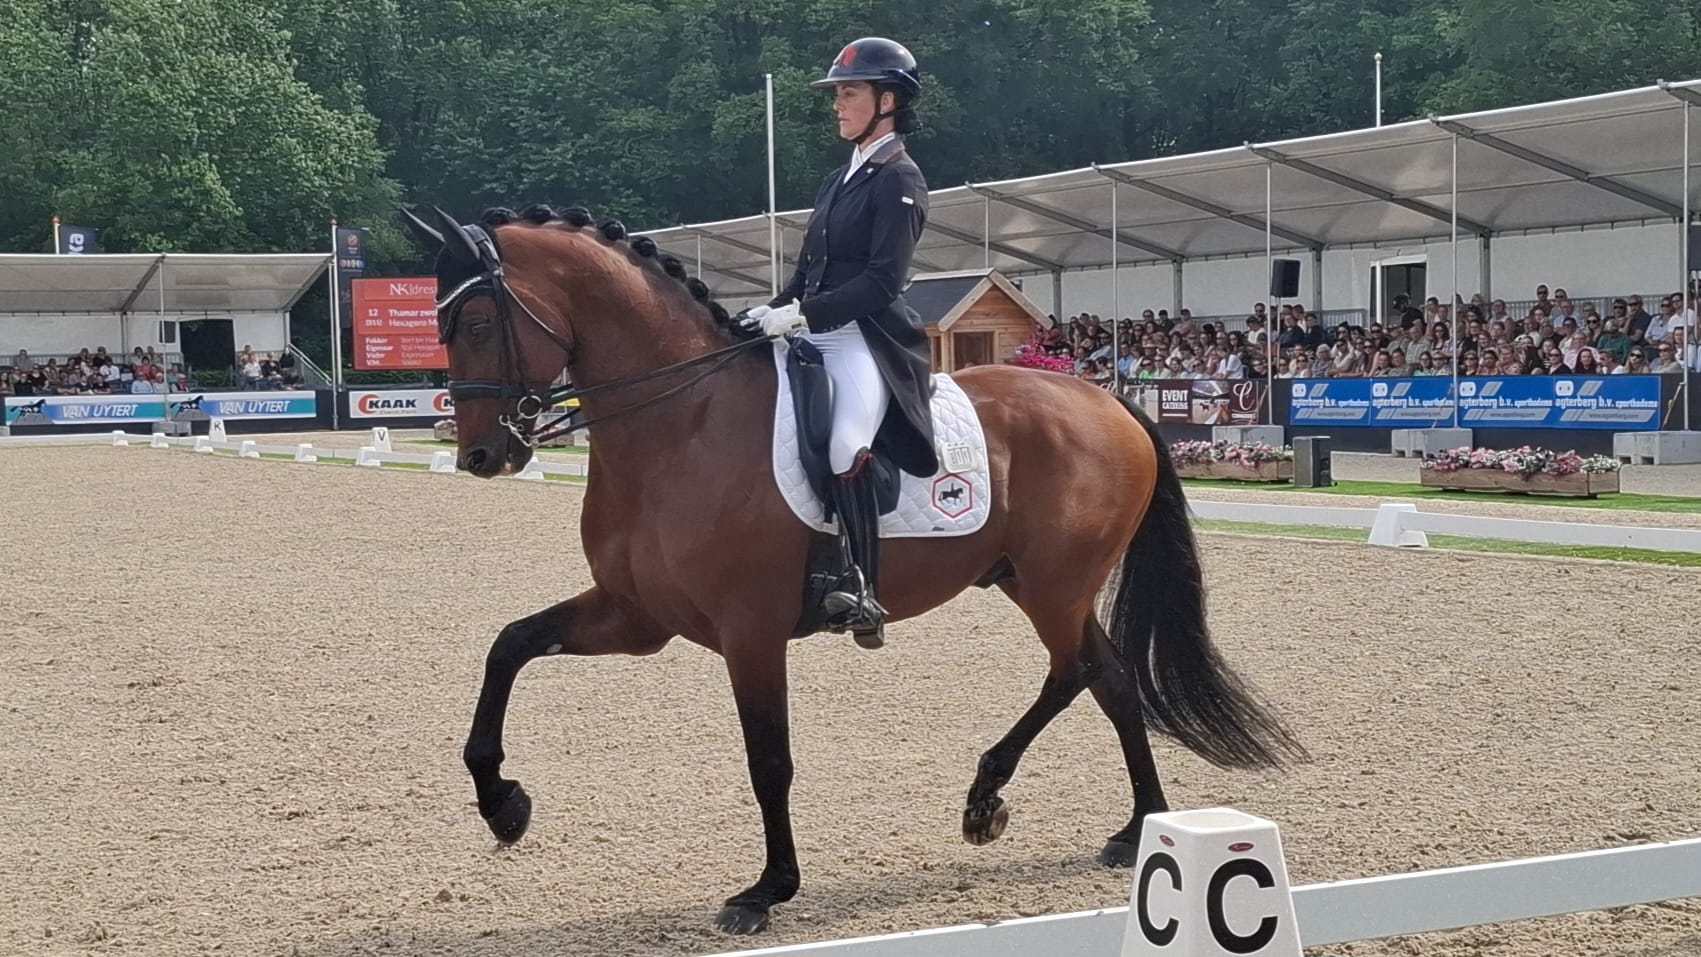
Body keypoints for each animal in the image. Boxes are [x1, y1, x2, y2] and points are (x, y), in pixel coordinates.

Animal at [402, 203, 1305, 936]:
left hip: (1055, 583)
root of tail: (1105, 398)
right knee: (1108, 676)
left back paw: (1012, 799)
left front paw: (766, 890)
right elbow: (509, 645)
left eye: (474, 321)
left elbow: (769, 758)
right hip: (1035, 580)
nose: (481, 455)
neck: (681, 423)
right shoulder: (636, 613)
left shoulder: (750, 630)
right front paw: (502, 805)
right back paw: (1119, 825)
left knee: (1080, 670)